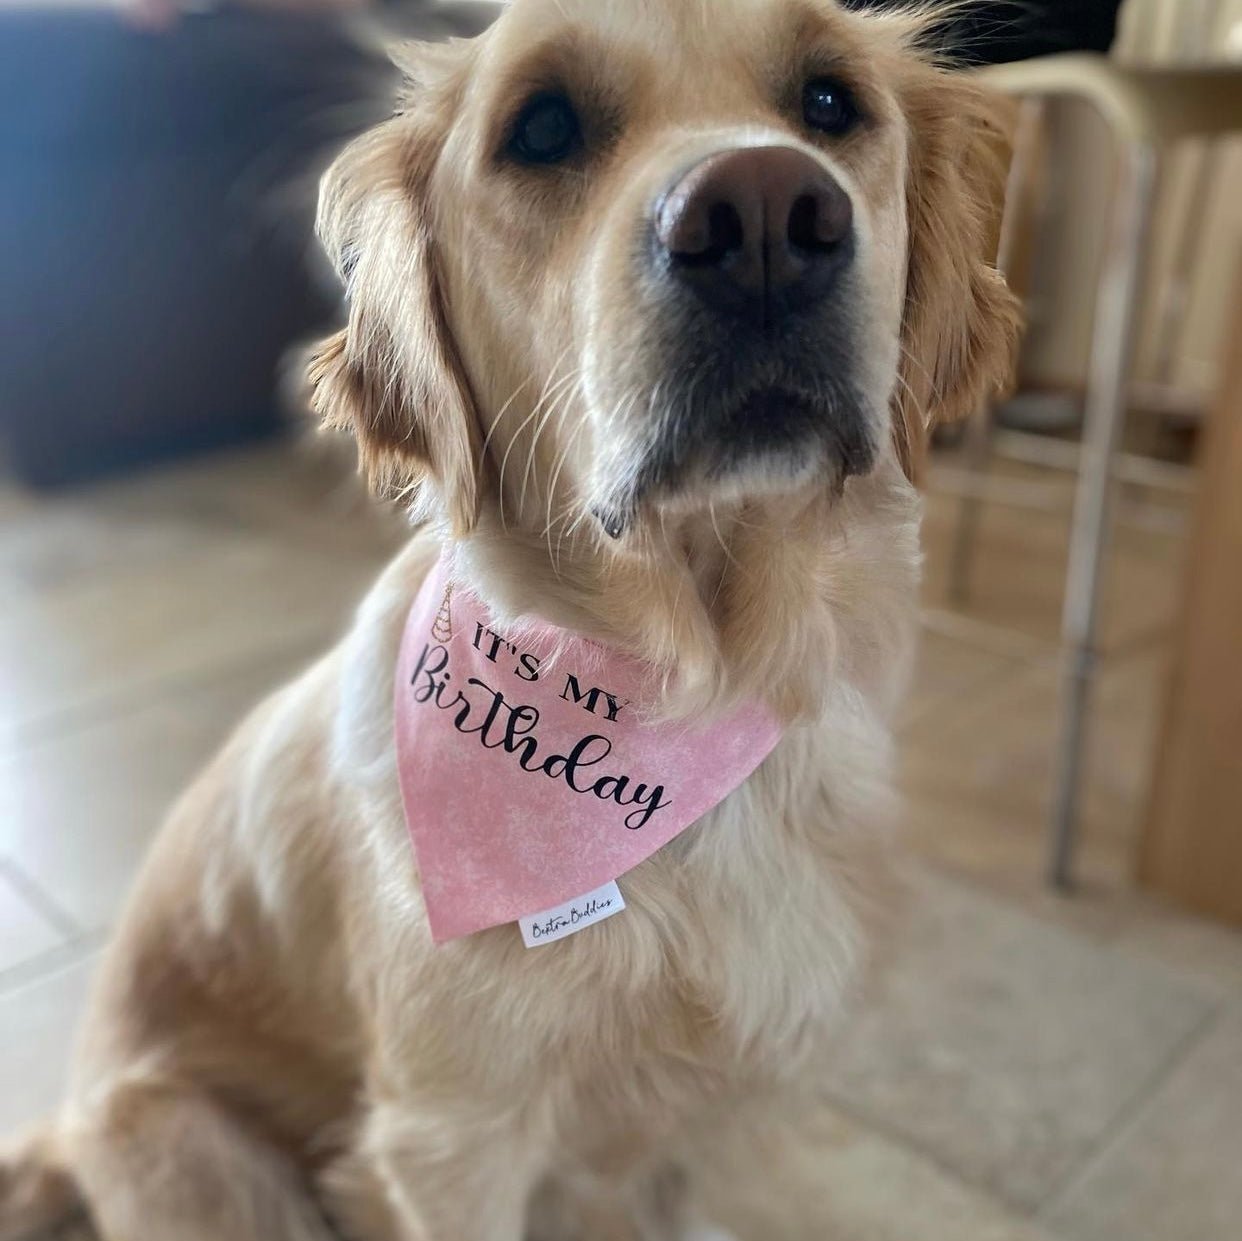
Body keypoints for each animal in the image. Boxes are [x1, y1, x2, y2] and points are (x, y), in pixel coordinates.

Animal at [0, 4, 1013, 1237]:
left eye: (830, 102)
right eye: (542, 128)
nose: (769, 215)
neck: (694, 688)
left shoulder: (739, 1103)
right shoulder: (449, 1143)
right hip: (206, 1154)